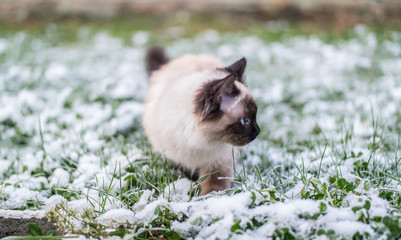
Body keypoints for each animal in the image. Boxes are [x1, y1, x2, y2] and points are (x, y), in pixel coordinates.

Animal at [143, 46, 260, 195]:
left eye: (254, 117)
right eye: (245, 121)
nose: (258, 131)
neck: (199, 142)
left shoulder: (219, 163)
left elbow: (213, 187)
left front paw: (206, 199)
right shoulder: (173, 156)